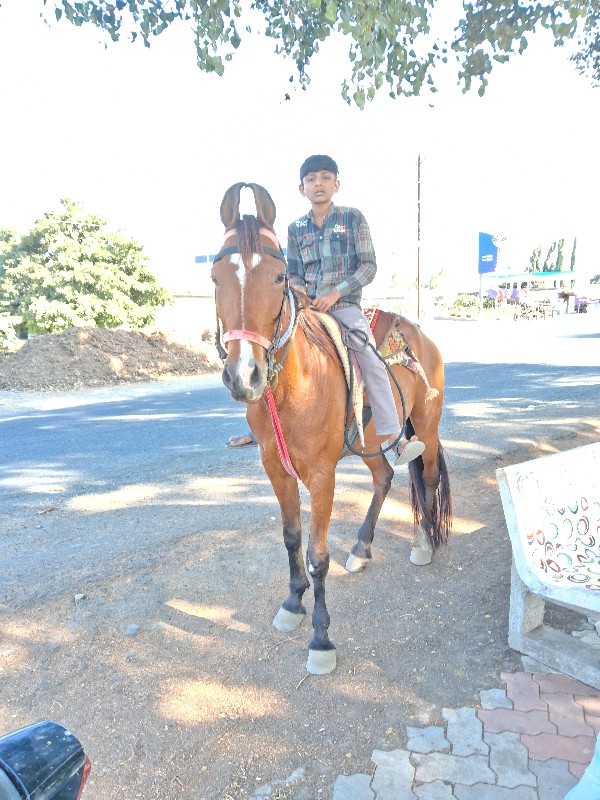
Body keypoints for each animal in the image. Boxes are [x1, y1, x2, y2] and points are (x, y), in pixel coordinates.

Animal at [211, 183, 450, 676]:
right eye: (215, 277)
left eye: (279, 277)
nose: (245, 376)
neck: (293, 388)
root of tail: (423, 336)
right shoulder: (276, 469)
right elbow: (290, 540)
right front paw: (292, 603)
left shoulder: (322, 476)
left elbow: (317, 555)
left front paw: (321, 639)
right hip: (371, 441)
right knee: (386, 478)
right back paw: (361, 549)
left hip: (427, 426)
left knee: (427, 479)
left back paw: (422, 543)